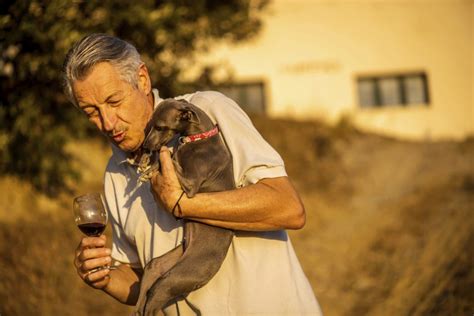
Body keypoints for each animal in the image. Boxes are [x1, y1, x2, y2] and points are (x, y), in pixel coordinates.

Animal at [134, 99, 234, 316]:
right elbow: (170, 156)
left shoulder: (191, 185)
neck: (198, 139)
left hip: (174, 278)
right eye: (150, 125)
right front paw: (147, 164)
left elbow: (171, 158)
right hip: (163, 265)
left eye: (160, 127)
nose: (146, 146)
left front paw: (150, 168)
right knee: (148, 282)